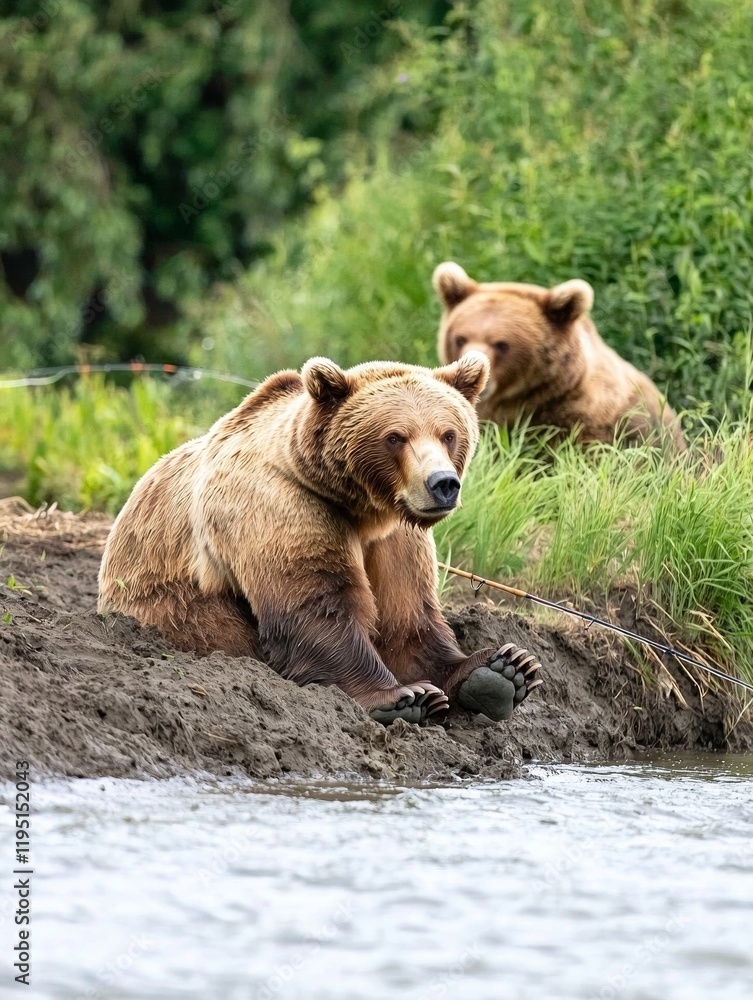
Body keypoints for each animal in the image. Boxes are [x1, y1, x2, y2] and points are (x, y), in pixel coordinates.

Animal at [98, 354, 543, 725]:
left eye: (448, 433)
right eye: (395, 436)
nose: (442, 484)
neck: (362, 509)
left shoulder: (396, 538)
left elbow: (407, 614)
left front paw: (501, 669)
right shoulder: (284, 506)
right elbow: (315, 603)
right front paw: (402, 696)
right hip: (171, 602)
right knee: (214, 628)